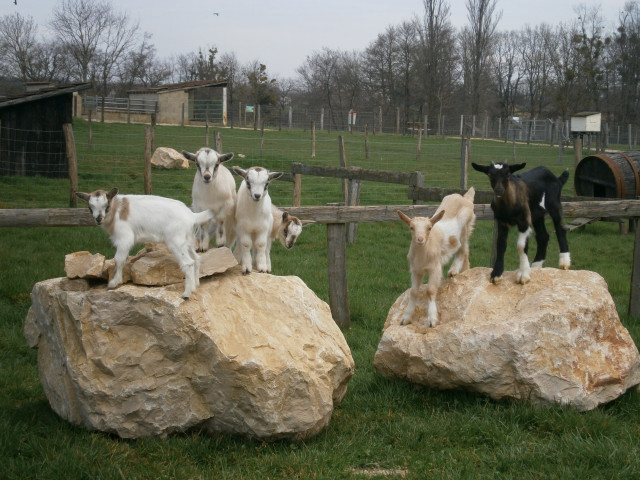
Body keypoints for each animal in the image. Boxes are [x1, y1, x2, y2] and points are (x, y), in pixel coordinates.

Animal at [77, 187, 212, 296]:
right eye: (90, 207)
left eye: (107, 206)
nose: (98, 219)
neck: (117, 210)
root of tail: (192, 216)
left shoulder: (124, 238)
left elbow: (119, 259)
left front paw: (114, 283)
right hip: (188, 240)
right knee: (196, 258)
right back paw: (195, 286)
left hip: (176, 242)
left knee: (188, 263)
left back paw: (186, 294)